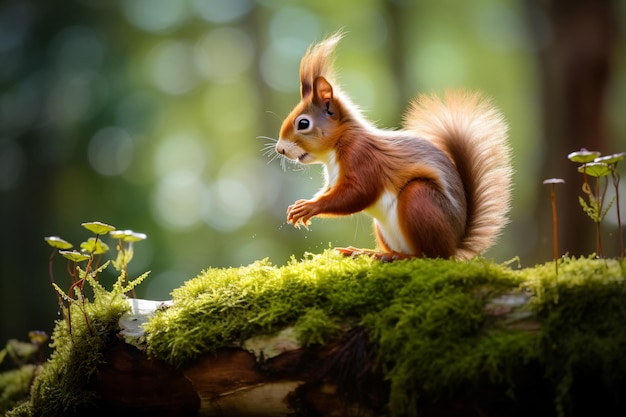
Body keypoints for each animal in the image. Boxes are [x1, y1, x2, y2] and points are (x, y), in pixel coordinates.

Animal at [274, 33, 512, 260]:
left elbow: (358, 193)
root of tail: (455, 243)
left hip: (420, 200)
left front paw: (309, 207)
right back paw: (366, 252)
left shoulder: (362, 157)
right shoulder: (333, 180)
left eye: (303, 123)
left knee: (430, 255)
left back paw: (392, 256)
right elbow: (329, 192)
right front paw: (300, 205)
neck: (337, 147)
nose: (279, 149)